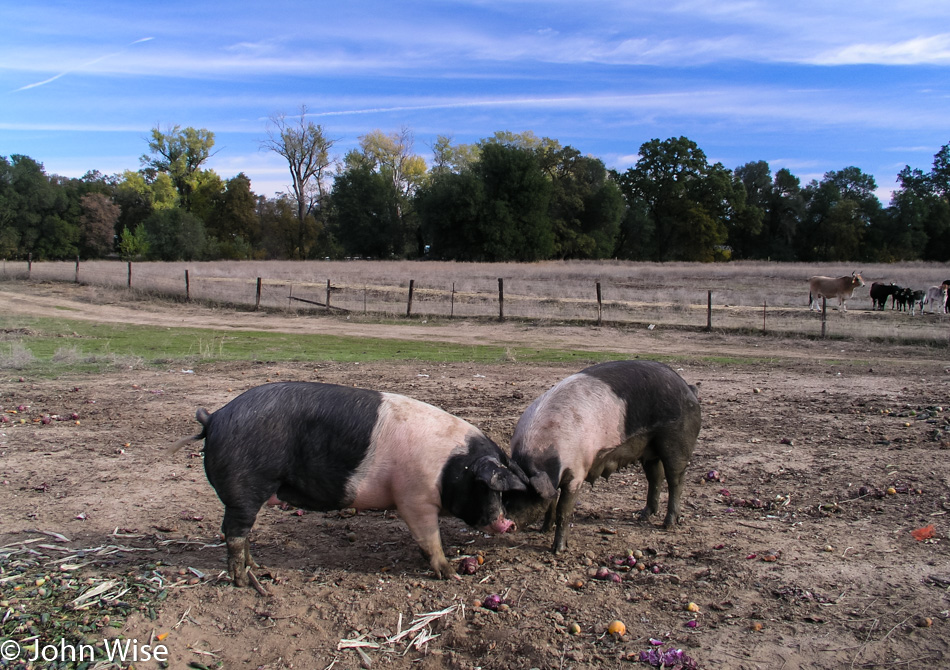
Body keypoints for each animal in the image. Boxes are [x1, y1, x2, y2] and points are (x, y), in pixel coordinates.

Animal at [171, 384, 528, 588]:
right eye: (489, 488)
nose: (508, 523)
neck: (449, 466)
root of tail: (214, 418)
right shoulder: (414, 498)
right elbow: (430, 538)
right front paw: (450, 573)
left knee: (240, 536)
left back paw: (258, 569)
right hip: (243, 490)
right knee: (234, 534)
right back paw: (247, 582)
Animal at [506, 362, 700, 556]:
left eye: (526, 495)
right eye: (505, 494)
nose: (504, 524)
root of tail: (688, 388)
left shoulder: (576, 473)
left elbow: (564, 510)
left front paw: (558, 550)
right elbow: (551, 503)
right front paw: (543, 530)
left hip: (676, 441)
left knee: (675, 480)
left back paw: (668, 524)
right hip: (648, 448)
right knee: (655, 476)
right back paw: (643, 515)